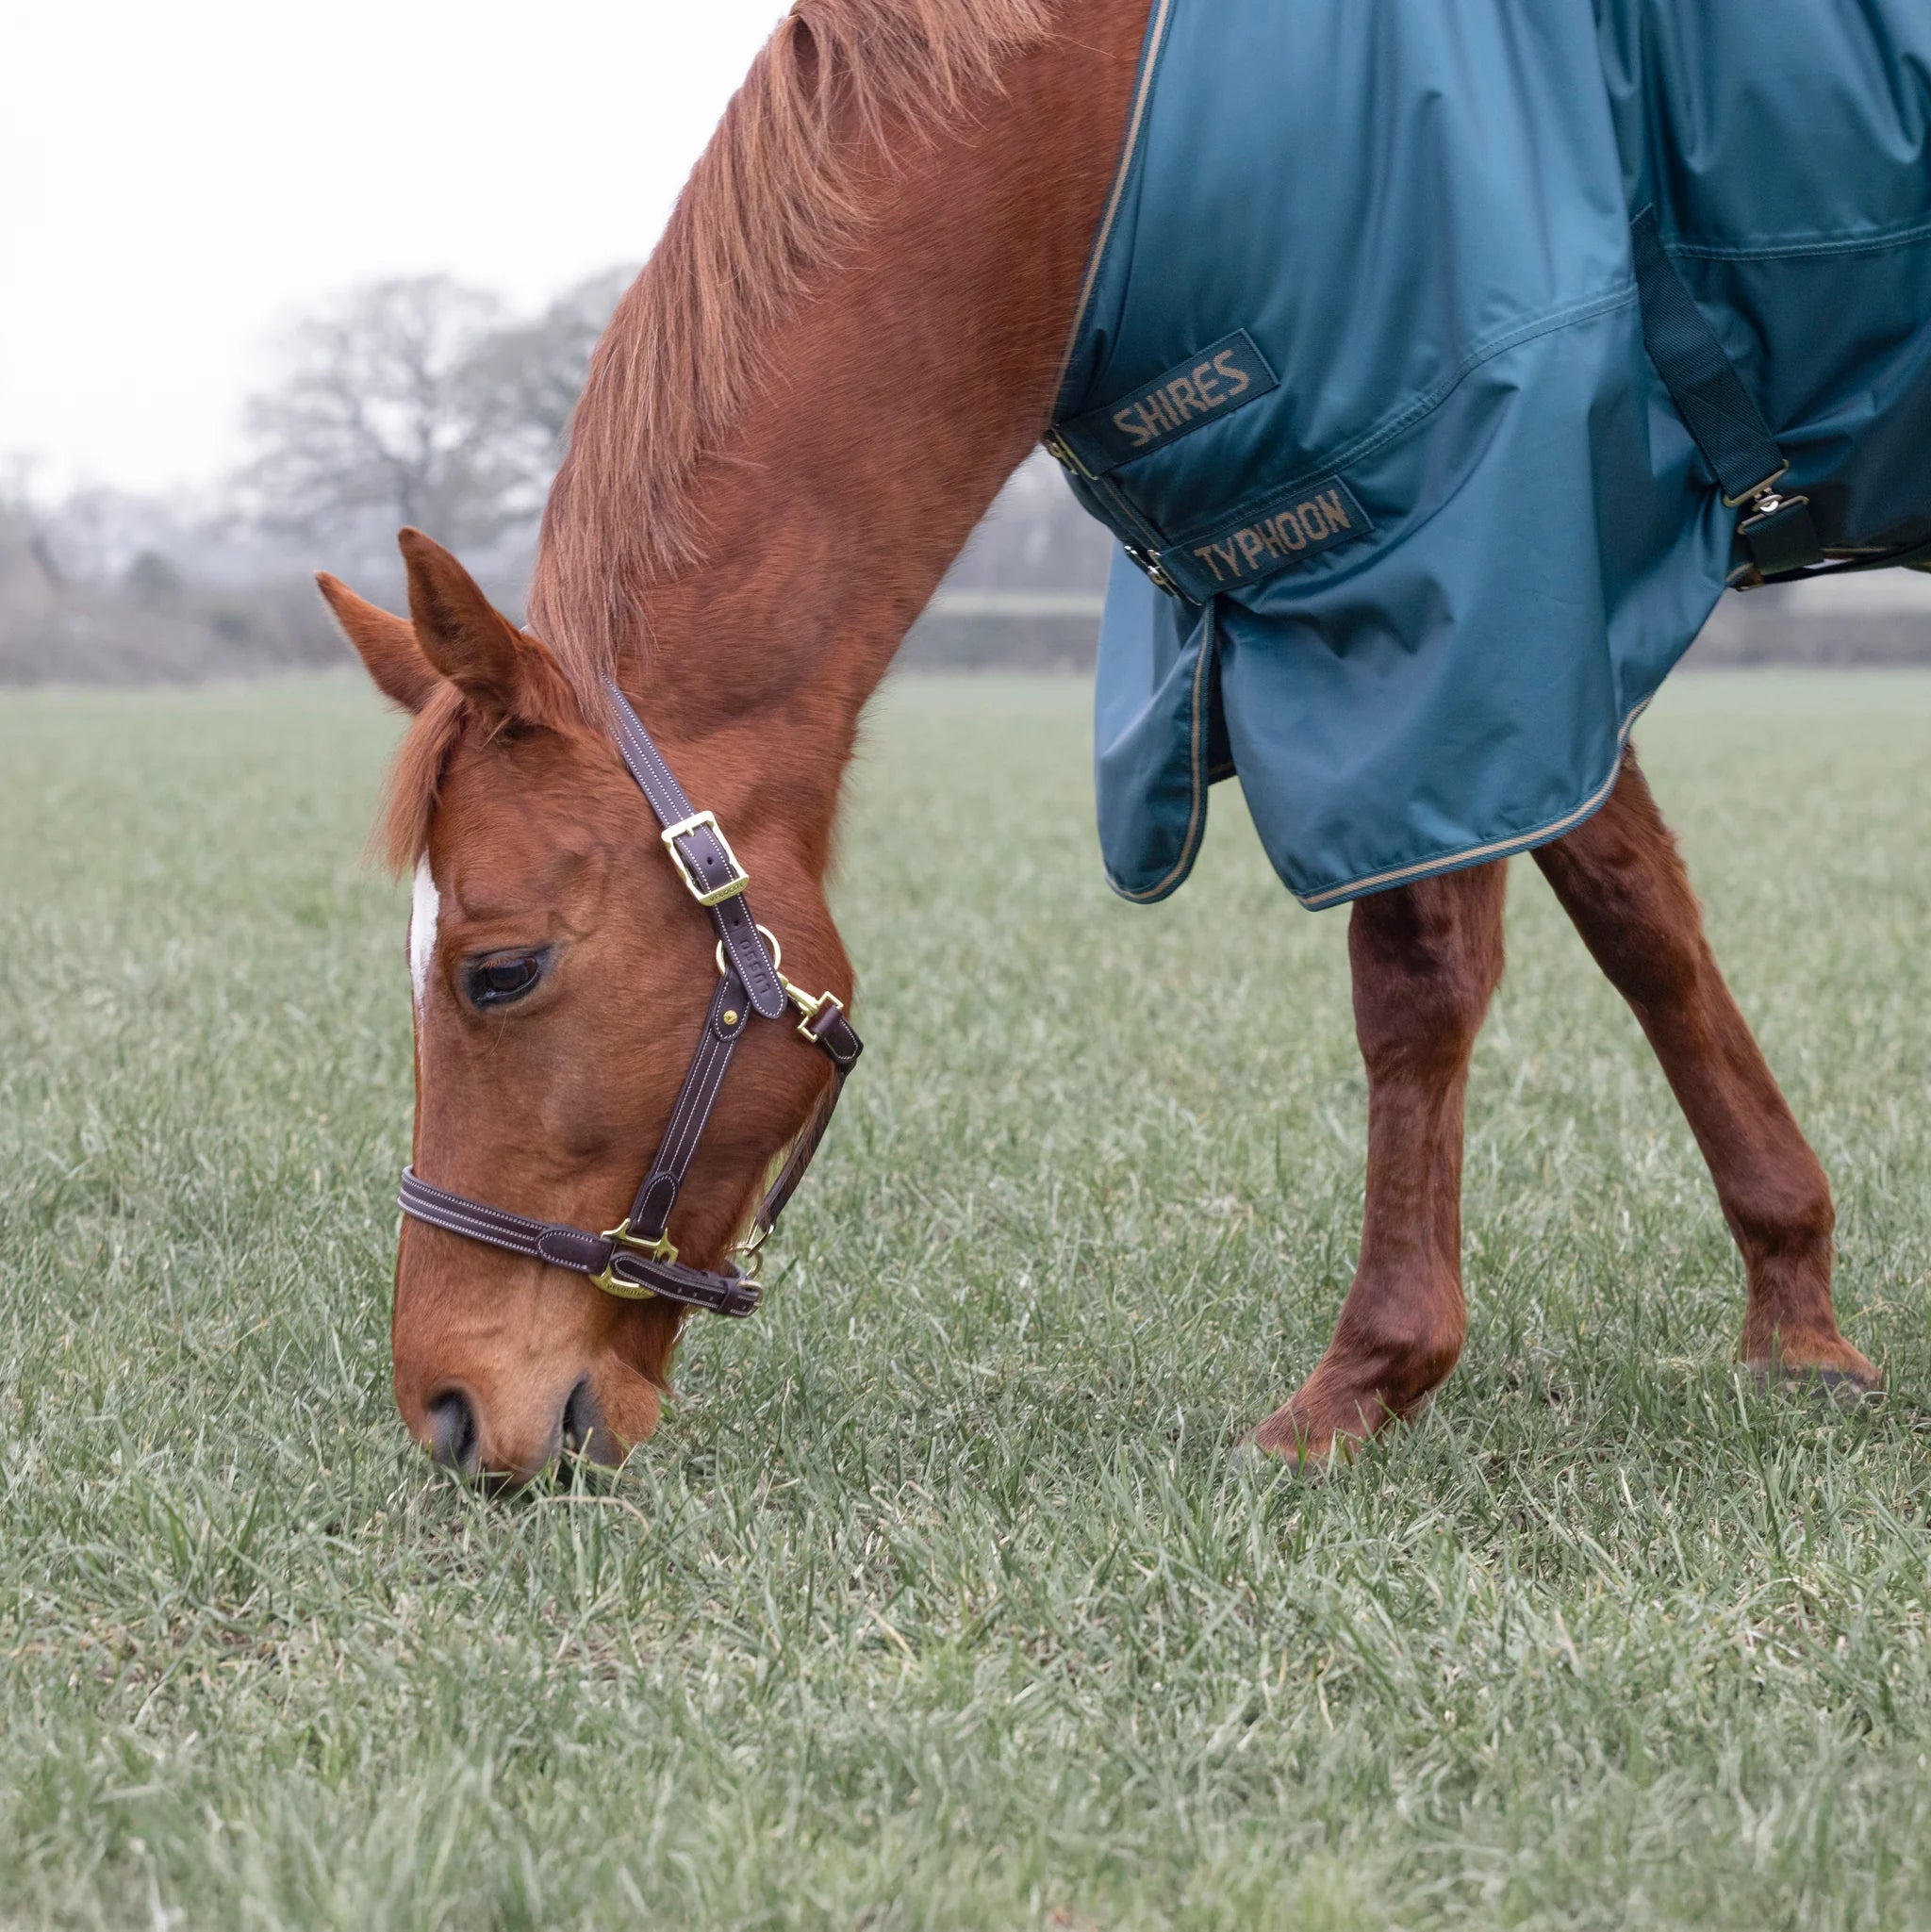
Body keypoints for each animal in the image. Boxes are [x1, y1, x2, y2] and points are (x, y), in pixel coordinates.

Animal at [320, 0, 1910, 1483]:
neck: (1108, 139)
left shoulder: (1453, 581)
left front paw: (1361, 1383)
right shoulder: (1533, 628)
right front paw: (1796, 1314)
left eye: (499, 971)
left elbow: (1420, 986)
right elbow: (1646, 928)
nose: (447, 1411)